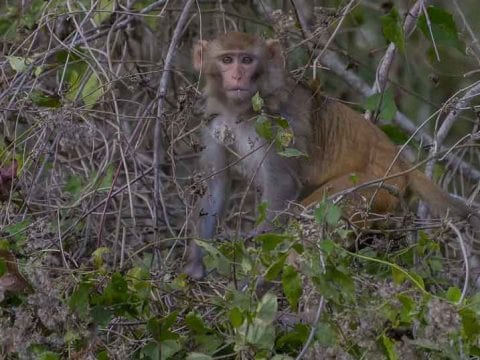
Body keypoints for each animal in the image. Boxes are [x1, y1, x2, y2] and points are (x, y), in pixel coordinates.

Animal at [183, 31, 476, 278]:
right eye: (227, 59)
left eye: (246, 60)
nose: (236, 76)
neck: (241, 110)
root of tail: (401, 162)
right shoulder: (212, 122)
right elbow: (216, 187)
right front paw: (196, 267)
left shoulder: (279, 124)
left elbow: (283, 185)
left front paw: (257, 248)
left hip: (373, 188)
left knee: (315, 211)